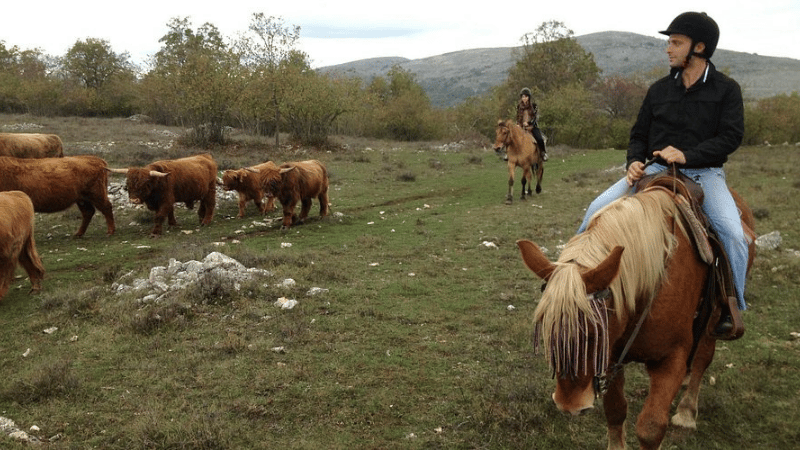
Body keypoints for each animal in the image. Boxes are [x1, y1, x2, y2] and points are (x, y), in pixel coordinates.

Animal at [516, 186, 755, 449]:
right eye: (546, 332)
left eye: (593, 333)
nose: (570, 406)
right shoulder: (612, 357)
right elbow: (615, 411)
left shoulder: (671, 358)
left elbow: (650, 428)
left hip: (714, 316)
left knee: (703, 356)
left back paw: (686, 412)